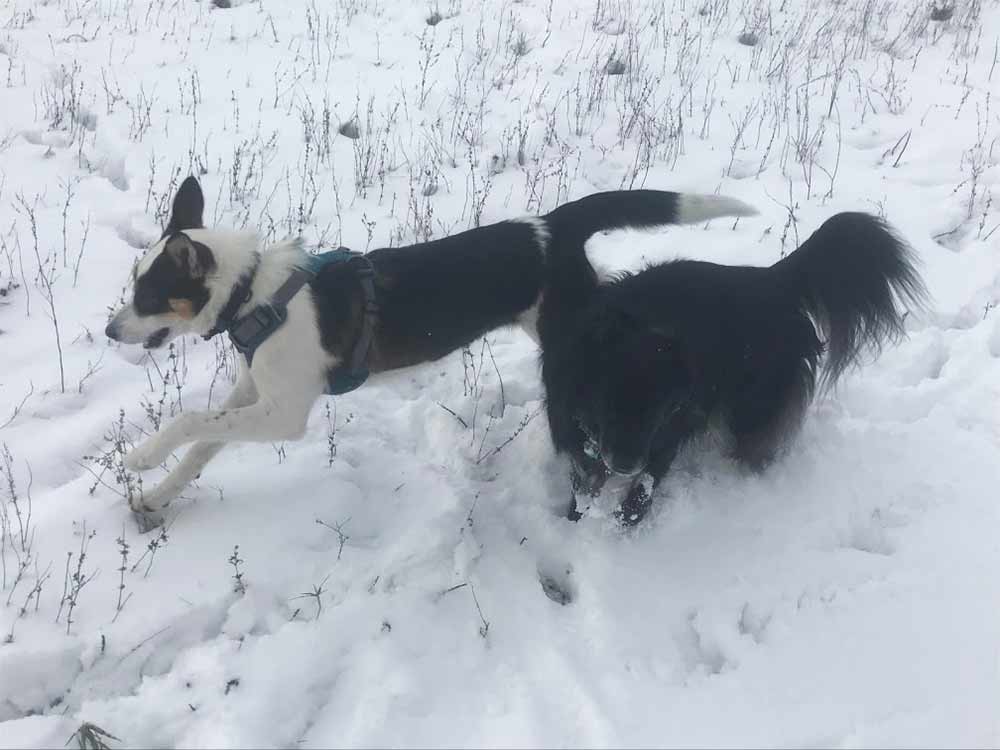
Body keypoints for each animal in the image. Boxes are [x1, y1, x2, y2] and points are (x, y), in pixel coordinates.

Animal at [105, 176, 752, 516]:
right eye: (131, 284)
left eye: (148, 294)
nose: (110, 332)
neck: (255, 294)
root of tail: (552, 224)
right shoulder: (252, 394)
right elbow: (202, 443)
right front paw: (158, 495)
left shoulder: (284, 412)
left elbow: (189, 421)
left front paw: (140, 457)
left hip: (571, 334)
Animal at [540, 212, 928, 528]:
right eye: (610, 400)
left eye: (659, 408)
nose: (625, 464)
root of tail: (774, 279)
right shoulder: (576, 424)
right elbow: (584, 479)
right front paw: (576, 519)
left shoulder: (670, 428)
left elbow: (646, 485)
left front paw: (625, 523)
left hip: (754, 401)